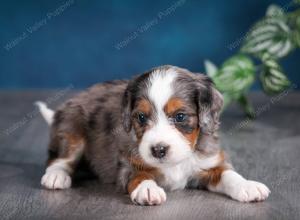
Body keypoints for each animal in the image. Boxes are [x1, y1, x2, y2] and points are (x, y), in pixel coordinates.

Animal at [37, 65, 270, 205]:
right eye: (141, 117)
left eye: (180, 116)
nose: (158, 150)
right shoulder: (127, 164)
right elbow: (139, 175)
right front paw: (147, 189)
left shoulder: (208, 163)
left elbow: (228, 174)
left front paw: (247, 185)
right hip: (71, 130)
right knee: (59, 159)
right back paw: (56, 176)